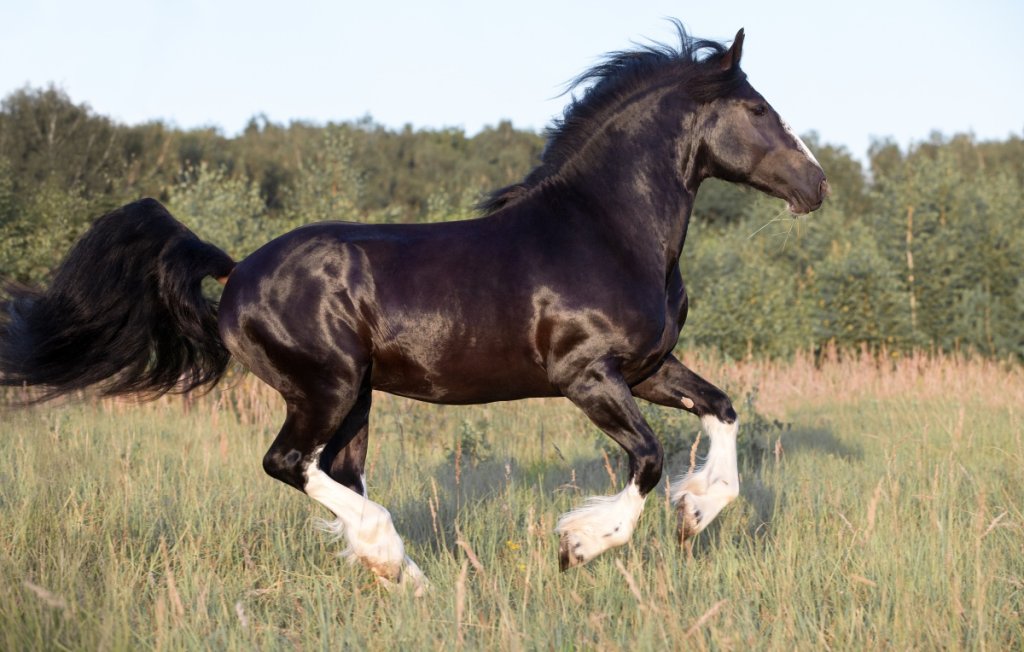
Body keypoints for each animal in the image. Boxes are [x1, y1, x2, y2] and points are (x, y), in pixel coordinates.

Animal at [0, 24, 827, 594]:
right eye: (757, 109)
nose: (816, 185)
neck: (607, 227)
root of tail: (236, 273)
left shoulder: (650, 367)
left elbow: (722, 410)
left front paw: (698, 512)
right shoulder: (586, 376)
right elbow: (649, 460)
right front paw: (579, 544)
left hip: (356, 396)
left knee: (335, 471)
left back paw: (402, 573)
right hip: (326, 387)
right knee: (289, 463)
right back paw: (395, 558)